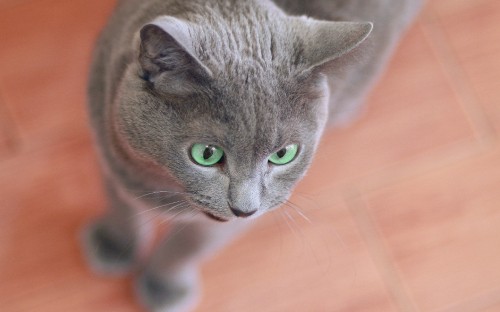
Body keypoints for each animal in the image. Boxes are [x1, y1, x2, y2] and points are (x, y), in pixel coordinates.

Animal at [81, 1, 422, 310]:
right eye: (206, 154)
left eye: (283, 154)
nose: (244, 208)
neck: (161, 184)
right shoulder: (108, 142)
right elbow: (119, 206)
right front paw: (113, 246)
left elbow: (189, 246)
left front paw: (164, 288)